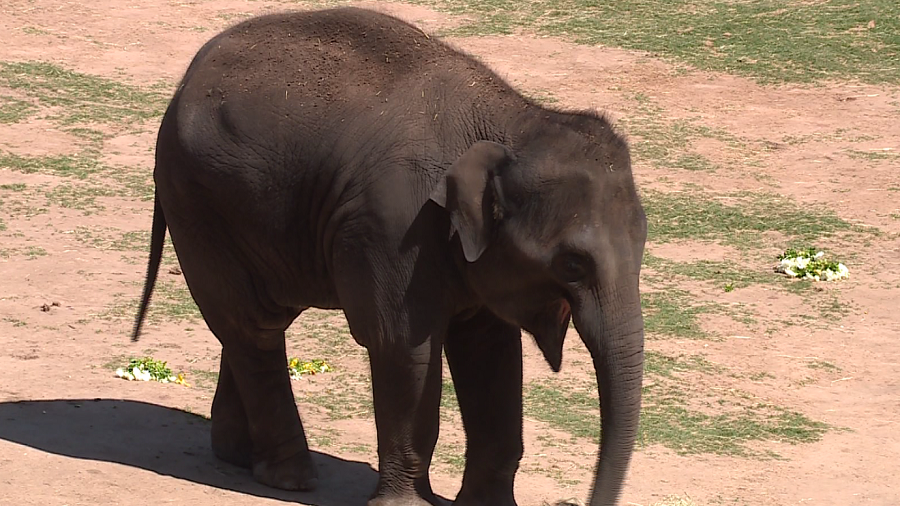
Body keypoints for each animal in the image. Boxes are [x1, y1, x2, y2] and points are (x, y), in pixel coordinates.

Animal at [132, 7, 647, 506]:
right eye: (573, 265)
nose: (580, 501)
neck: (513, 124)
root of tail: (185, 83)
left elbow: (492, 353)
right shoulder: (397, 226)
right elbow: (403, 345)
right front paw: (406, 505)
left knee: (252, 322)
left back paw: (239, 457)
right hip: (197, 203)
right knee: (252, 325)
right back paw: (290, 478)